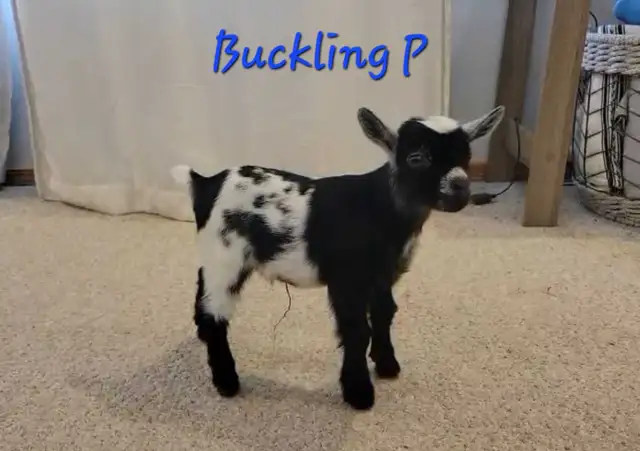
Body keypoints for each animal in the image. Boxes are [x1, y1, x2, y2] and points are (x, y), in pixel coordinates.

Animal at [170, 105, 505, 410]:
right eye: (417, 158)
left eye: (466, 157)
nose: (460, 189)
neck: (379, 206)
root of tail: (206, 182)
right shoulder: (348, 279)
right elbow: (356, 330)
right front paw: (359, 393)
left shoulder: (382, 276)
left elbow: (384, 313)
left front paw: (387, 365)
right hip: (225, 252)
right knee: (216, 313)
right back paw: (227, 382)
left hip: (216, 254)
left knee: (202, 289)